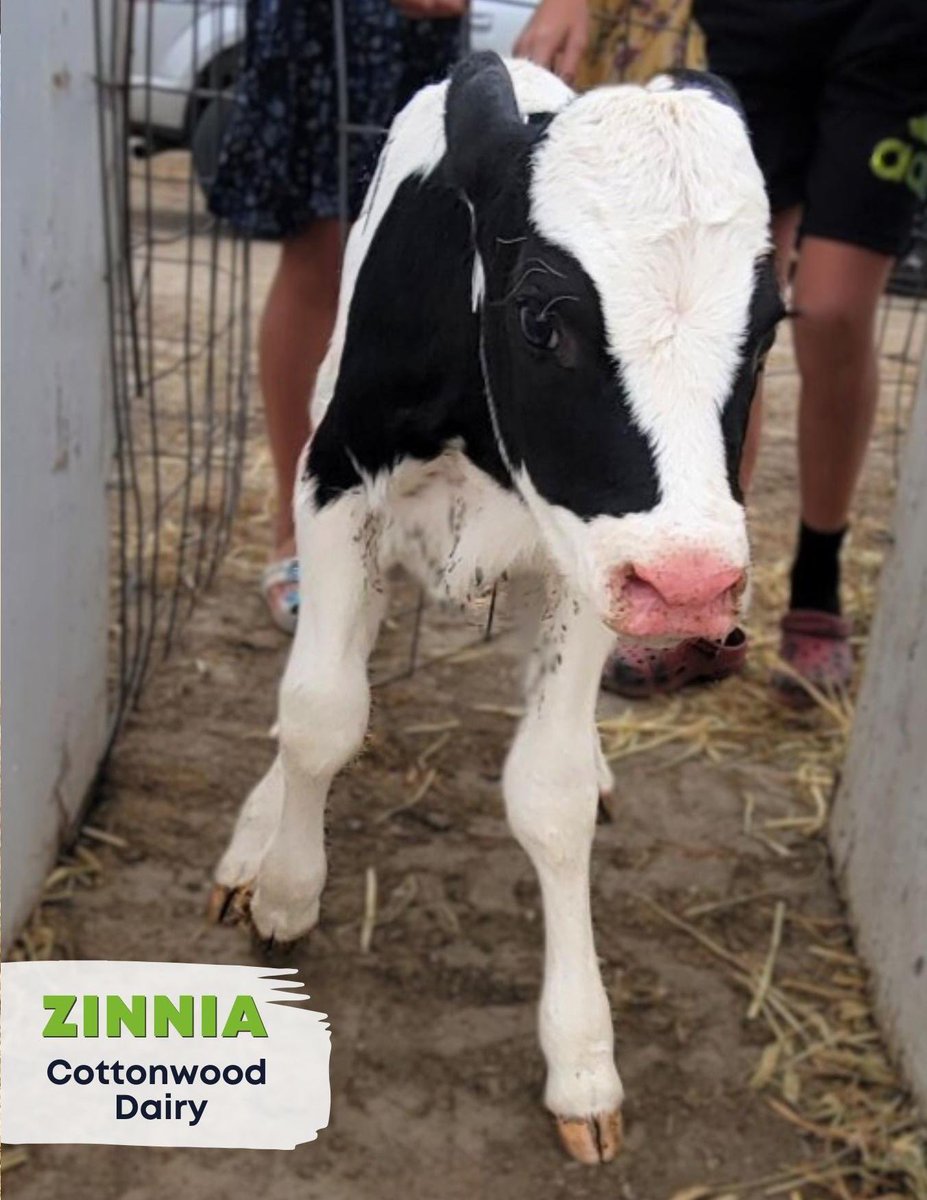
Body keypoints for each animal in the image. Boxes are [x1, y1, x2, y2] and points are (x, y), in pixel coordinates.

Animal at [209, 52, 782, 1163]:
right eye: (539, 317)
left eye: (771, 325)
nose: (694, 585)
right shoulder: (335, 480)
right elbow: (320, 714)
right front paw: (290, 885)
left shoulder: (595, 552)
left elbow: (549, 794)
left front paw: (582, 1057)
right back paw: (256, 831)